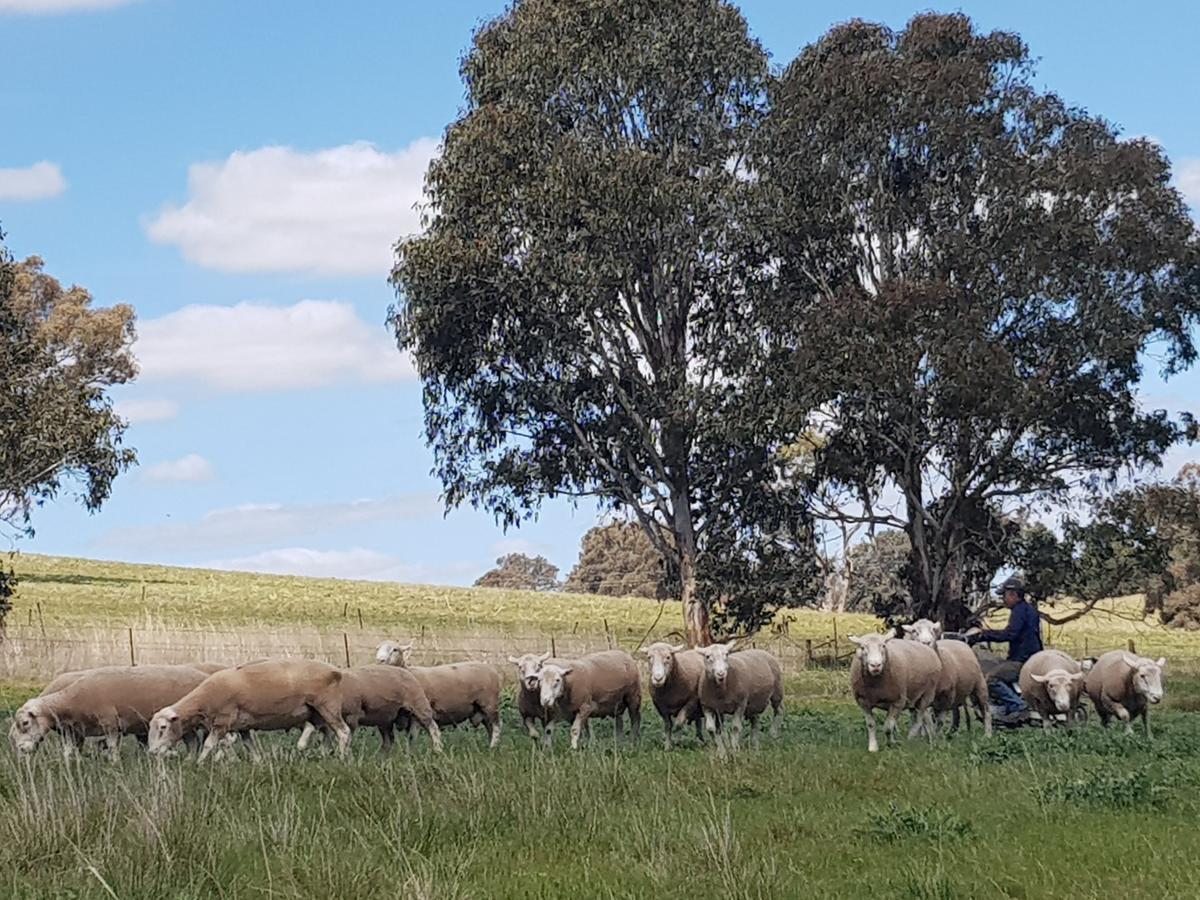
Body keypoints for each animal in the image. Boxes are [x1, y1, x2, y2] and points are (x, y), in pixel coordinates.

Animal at [8, 667, 211, 758]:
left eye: (25, 723)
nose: (21, 750)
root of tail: (203, 675)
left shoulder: (110, 724)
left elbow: (112, 747)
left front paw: (114, 764)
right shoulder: (73, 731)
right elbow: (68, 750)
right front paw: (70, 765)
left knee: (194, 742)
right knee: (193, 742)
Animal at [147, 657, 350, 763]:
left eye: (163, 728)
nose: (152, 751)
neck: (204, 701)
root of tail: (335, 670)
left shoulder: (222, 721)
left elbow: (209, 744)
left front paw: (200, 762)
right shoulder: (242, 727)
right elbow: (249, 746)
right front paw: (257, 762)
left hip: (328, 706)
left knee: (343, 731)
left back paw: (341, 757)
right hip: (316, 713)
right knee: (325, 733)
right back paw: (325, 754)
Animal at [300, 672, 446, 753]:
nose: (300, 747)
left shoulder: (352, 716)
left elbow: (345, 736)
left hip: (418, 704)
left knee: (433, 728)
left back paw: (438, 749)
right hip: (386, 718)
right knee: (390, 740)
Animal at [376, 643, 504, 748]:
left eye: (395, 649)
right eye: (378, 648)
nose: (380, 660)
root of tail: (491, 668)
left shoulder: (416, 714)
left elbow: (412, 737)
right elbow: (410, 738)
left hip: (489, 703)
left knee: (496, 725)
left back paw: (493, 747)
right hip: (480, 708)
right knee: (489, 727)